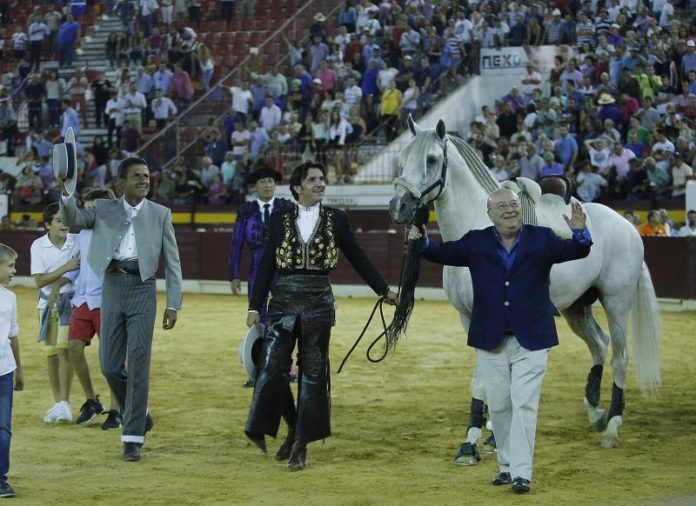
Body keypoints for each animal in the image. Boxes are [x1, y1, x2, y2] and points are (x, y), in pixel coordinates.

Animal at [388, 118, 660, 450]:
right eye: (402, 160)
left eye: (431, 159)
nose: (398, 206)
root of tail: (628, 227)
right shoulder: (470, 319)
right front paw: (486, 432)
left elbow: (484, 378)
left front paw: (478, 436)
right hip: (576, 306)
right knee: (599, 343)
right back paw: (596, 412)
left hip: (616, 303)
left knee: (620, 357)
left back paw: (613, 427)